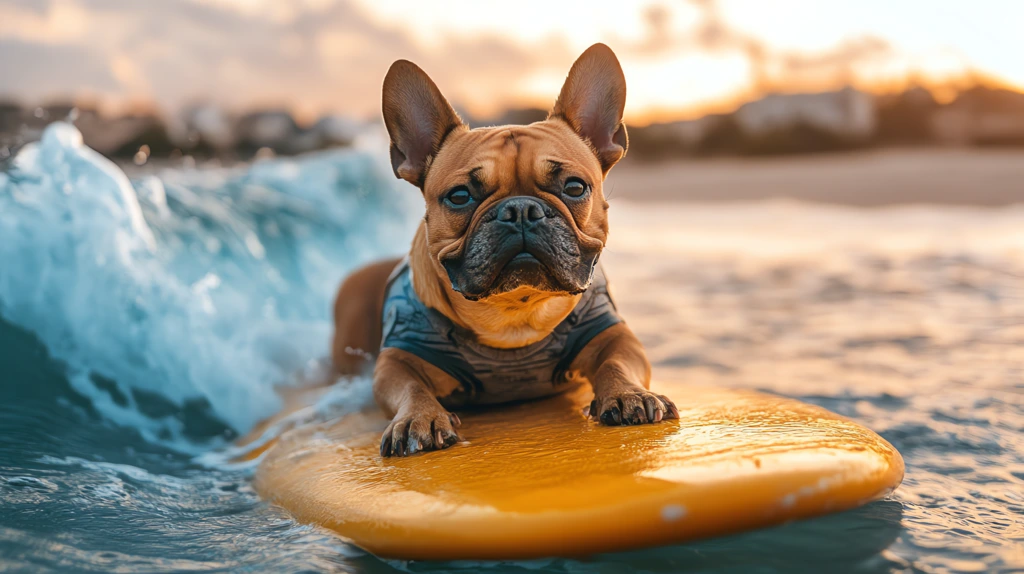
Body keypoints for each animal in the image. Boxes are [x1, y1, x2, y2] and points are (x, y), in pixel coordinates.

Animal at [331, 42, 675, 456]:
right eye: (460, 196)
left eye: (575, 187)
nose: (521, 210)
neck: (514, 313)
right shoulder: (397, 359)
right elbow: (410, 386)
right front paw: (418, 417)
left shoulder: (613, 335)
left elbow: (617, 363)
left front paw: (628, 394)